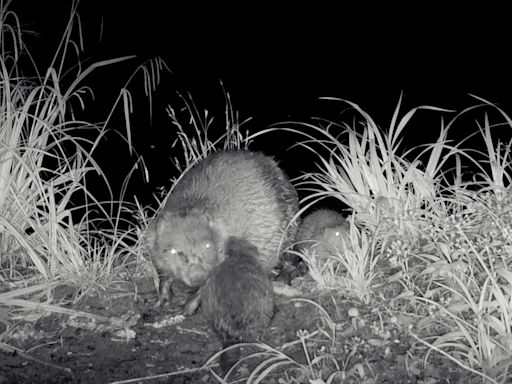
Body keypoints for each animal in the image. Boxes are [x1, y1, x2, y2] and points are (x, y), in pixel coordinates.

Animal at [144, 149, 298, 306]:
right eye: (174, 251)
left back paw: (282, 276)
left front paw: (187, 305)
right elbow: (162, 271)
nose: (197, 275)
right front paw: (161, 300)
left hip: (290, 219)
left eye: (207, 245)